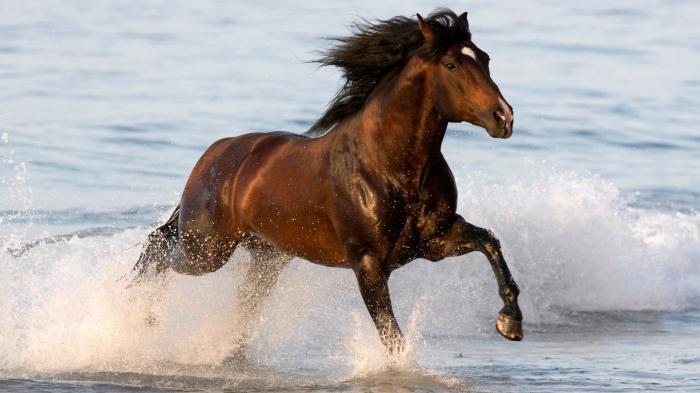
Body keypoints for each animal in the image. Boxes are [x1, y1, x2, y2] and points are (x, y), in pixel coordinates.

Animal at [134, 8, 524, 358]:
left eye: (486, 59)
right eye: (452, 65)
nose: (504, 118)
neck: (389, 165)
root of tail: (215, 153)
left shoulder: (434, 241)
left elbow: (489, 242)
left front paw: (510, 323)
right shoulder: (367, 261)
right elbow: (391, 335)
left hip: (266, 256)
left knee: (240, 300)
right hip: (207, 249)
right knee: (157, 250)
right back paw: (142, 317)